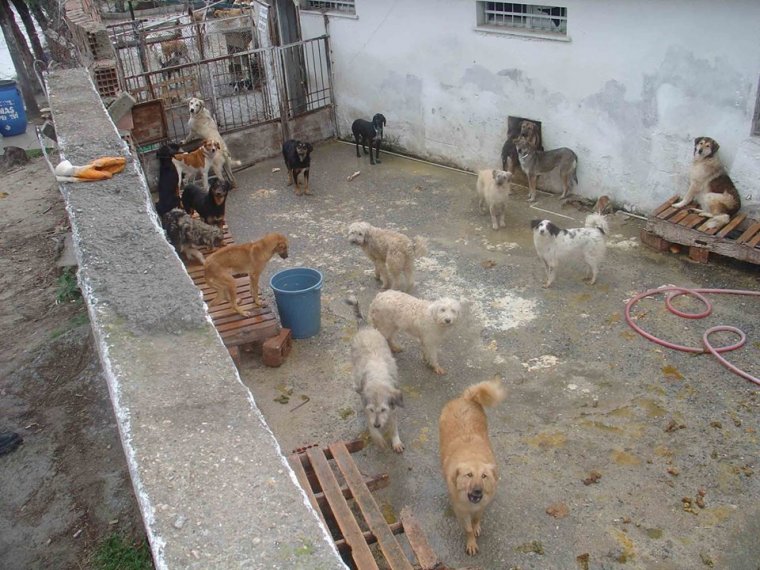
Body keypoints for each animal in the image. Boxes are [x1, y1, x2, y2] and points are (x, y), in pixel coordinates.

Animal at [344, 298, 404, 452]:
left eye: (383, 410)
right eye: (372, 409)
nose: (378, 425)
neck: (378, 379)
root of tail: (365, 327)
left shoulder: (393, 407)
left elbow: (394, 426)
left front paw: (396, 441)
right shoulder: (366, 407)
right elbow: (370, 426)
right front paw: (378, 438)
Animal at [440, 380, 504, 552]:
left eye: (484, 476)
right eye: (468, 475)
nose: (477, 491)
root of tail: (465, 398)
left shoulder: (481, 506)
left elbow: (476, 521)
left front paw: (476, 528)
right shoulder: (461, 510)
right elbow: (467, 528)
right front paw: (471, 543)